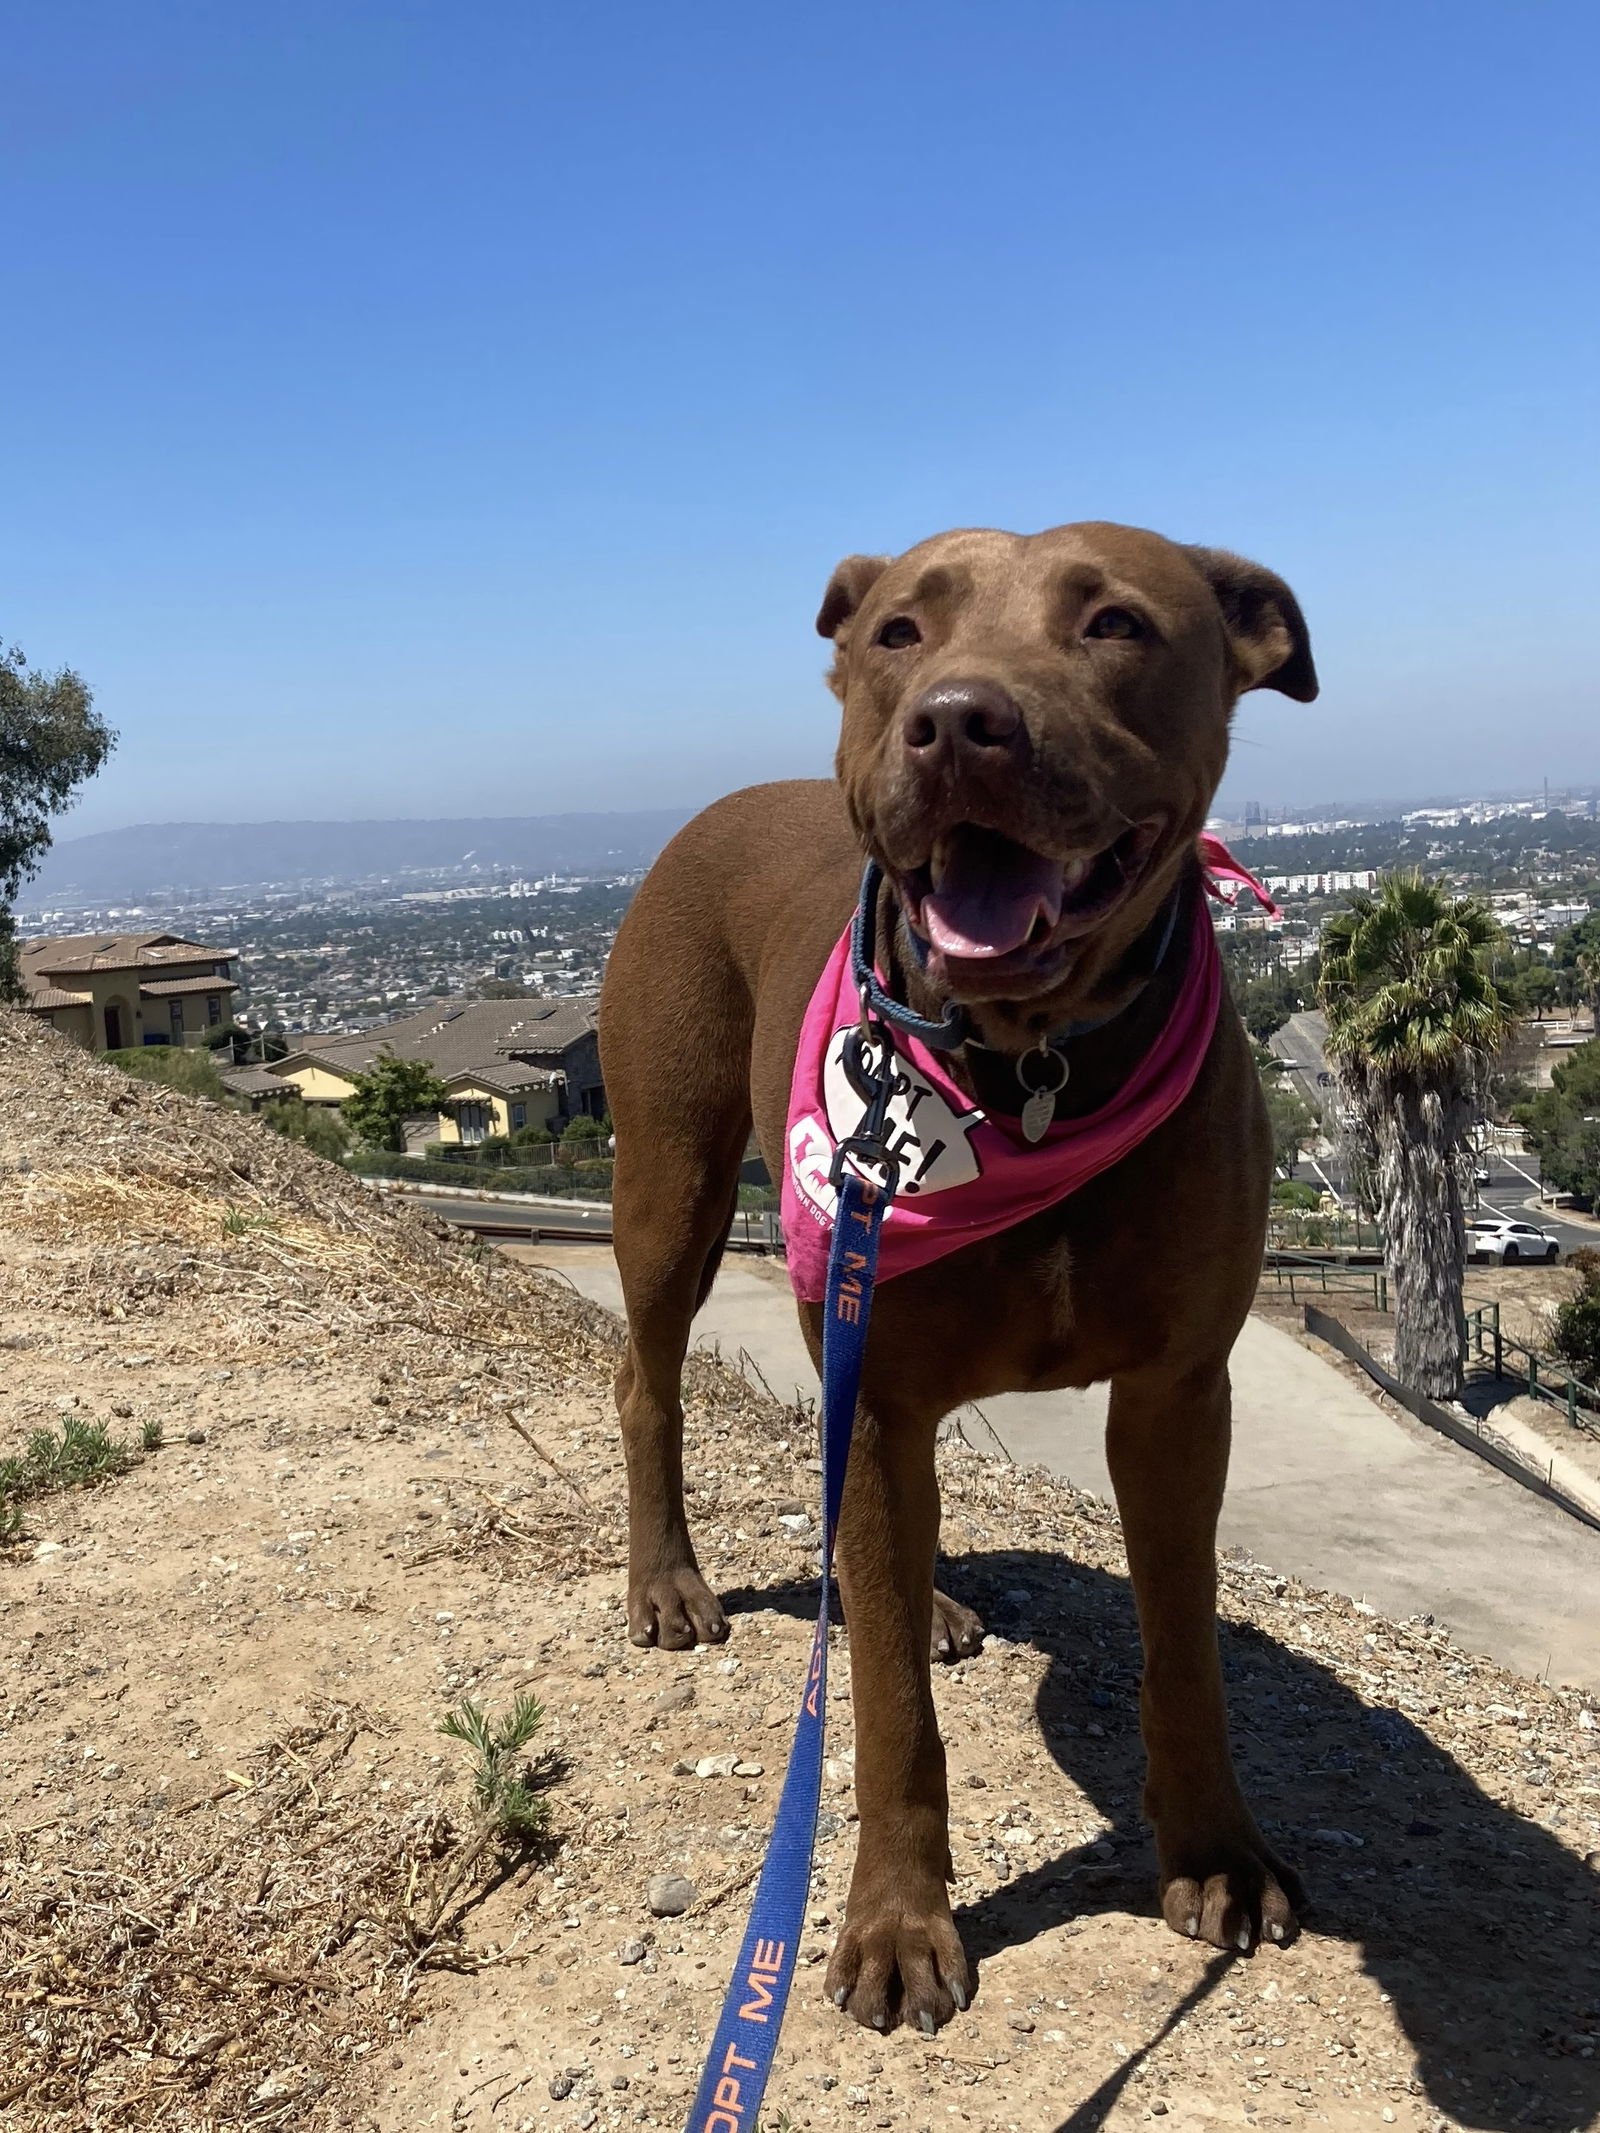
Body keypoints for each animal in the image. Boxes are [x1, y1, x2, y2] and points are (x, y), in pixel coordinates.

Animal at [597, 516, 1314, 2030]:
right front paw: (894, 1920)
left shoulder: (1177, 1395)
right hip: (672, 1187)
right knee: (652, 1383)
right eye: (899, 632)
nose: (957, 722)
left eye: (1115, 622)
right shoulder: (876, 1379)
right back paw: (671, 1584)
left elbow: (1184, 1648)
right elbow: (881, 1712)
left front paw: (1214, 1853)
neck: (1027, 1068)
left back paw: (917, 1599)